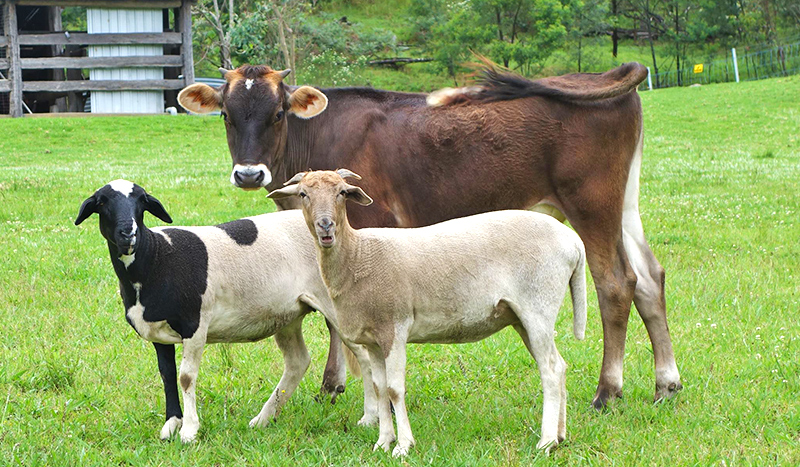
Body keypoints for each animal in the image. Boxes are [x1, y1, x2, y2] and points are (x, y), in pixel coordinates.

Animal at [177, 63, 680, 410]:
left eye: (279, 113)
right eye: (226, 115)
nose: (248, 174)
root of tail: (598, 75)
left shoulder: (366, 224)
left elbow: (339, 315)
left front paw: (350, 388)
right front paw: (334, 385)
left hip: (591, 203)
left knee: (616, 283)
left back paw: (607, 391)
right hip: (624, 205)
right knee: (650, 277)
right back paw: (666, 383)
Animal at [268, 169, 588, 458]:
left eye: (342, 193)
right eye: (303, 194)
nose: (326, 226)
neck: (358, 256)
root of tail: (573, 242)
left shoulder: (394, 328)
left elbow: (395, 390)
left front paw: (403, 447)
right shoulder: (373, 340)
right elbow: (379, 389)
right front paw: (383, 442)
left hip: (538, 306)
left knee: (550, 370)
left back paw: (546, 442)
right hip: (523, 318)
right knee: (559, 366)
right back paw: (560, 436)